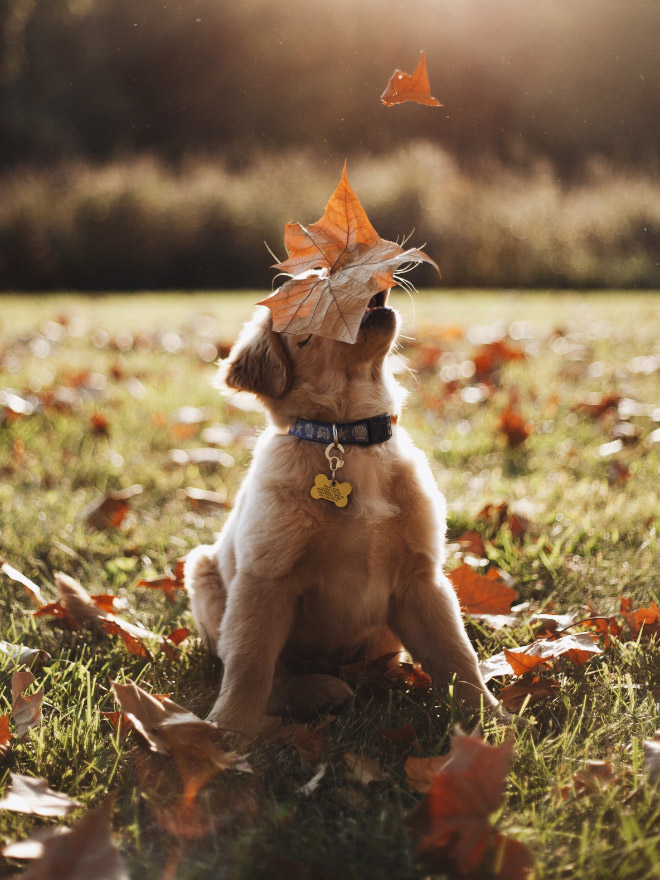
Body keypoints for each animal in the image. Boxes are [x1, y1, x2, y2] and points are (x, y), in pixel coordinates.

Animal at [183, 292, 498, 740]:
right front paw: (229, 729)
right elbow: (250, 662)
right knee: (274, 678)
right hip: (203, 573)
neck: (345, 436)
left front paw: (491, 720)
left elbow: (456, 655)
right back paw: (320, 691)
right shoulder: (266, 578)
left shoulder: (421, 579)